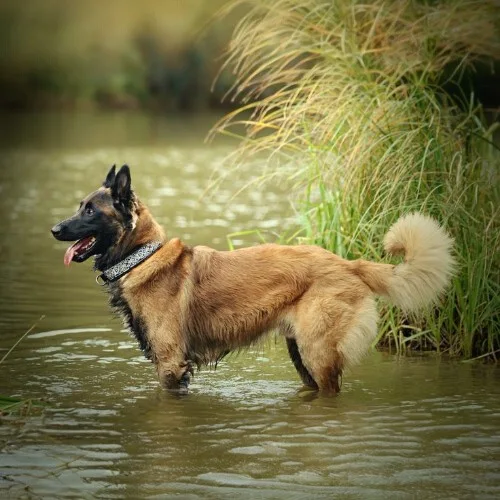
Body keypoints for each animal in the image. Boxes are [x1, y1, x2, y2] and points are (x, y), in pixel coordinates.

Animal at [50, 166, 454, 392]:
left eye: (90, 210)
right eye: (80, 206)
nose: (55, 229)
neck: (141, 256)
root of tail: (349, 264)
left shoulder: (171, 366)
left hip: (318, 355)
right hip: (302, 357)